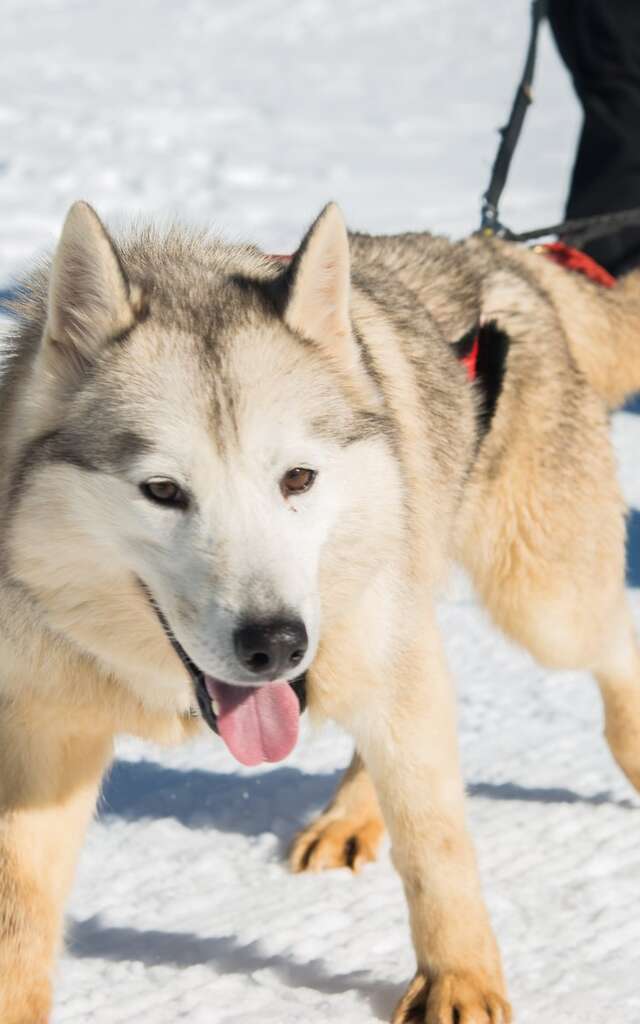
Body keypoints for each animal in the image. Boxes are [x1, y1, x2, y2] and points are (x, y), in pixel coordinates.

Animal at [1, 201, 638, 1024]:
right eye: (163, 491)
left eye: (297, 478)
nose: (274, 644)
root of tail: (502, 254)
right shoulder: (46, 736)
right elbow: (20, 910)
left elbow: (435, 845)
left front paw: (459, 980)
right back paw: (351, 816)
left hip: (541, 605)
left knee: (606, 650)